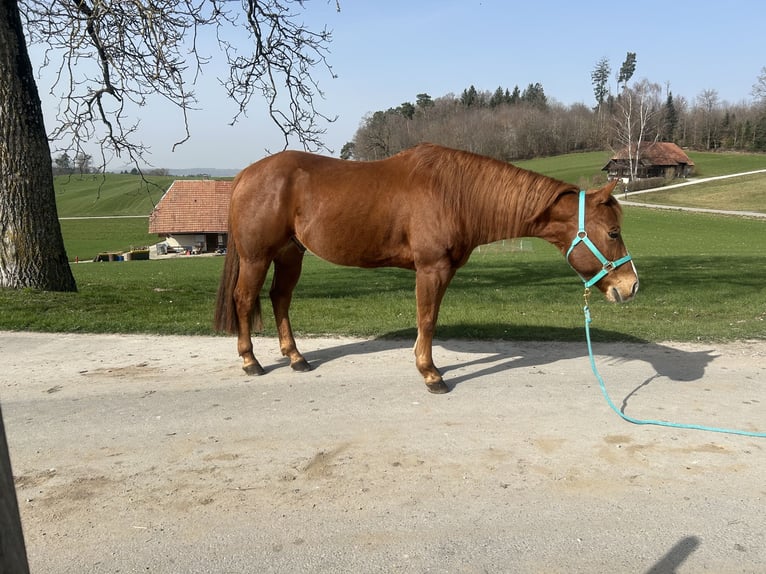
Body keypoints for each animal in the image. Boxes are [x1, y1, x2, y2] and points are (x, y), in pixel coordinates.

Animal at [214, 143, 638, 393]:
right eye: (614, 232)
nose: (631, 286)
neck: (456, 193)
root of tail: (246, 174)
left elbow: (427, 320)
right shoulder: (431, 270)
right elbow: (428, 320)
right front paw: (431, 374)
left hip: (291, 254)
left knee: (280, 298)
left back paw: (296, 358)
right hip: (257, 257)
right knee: (245, 298)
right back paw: (251, 362)